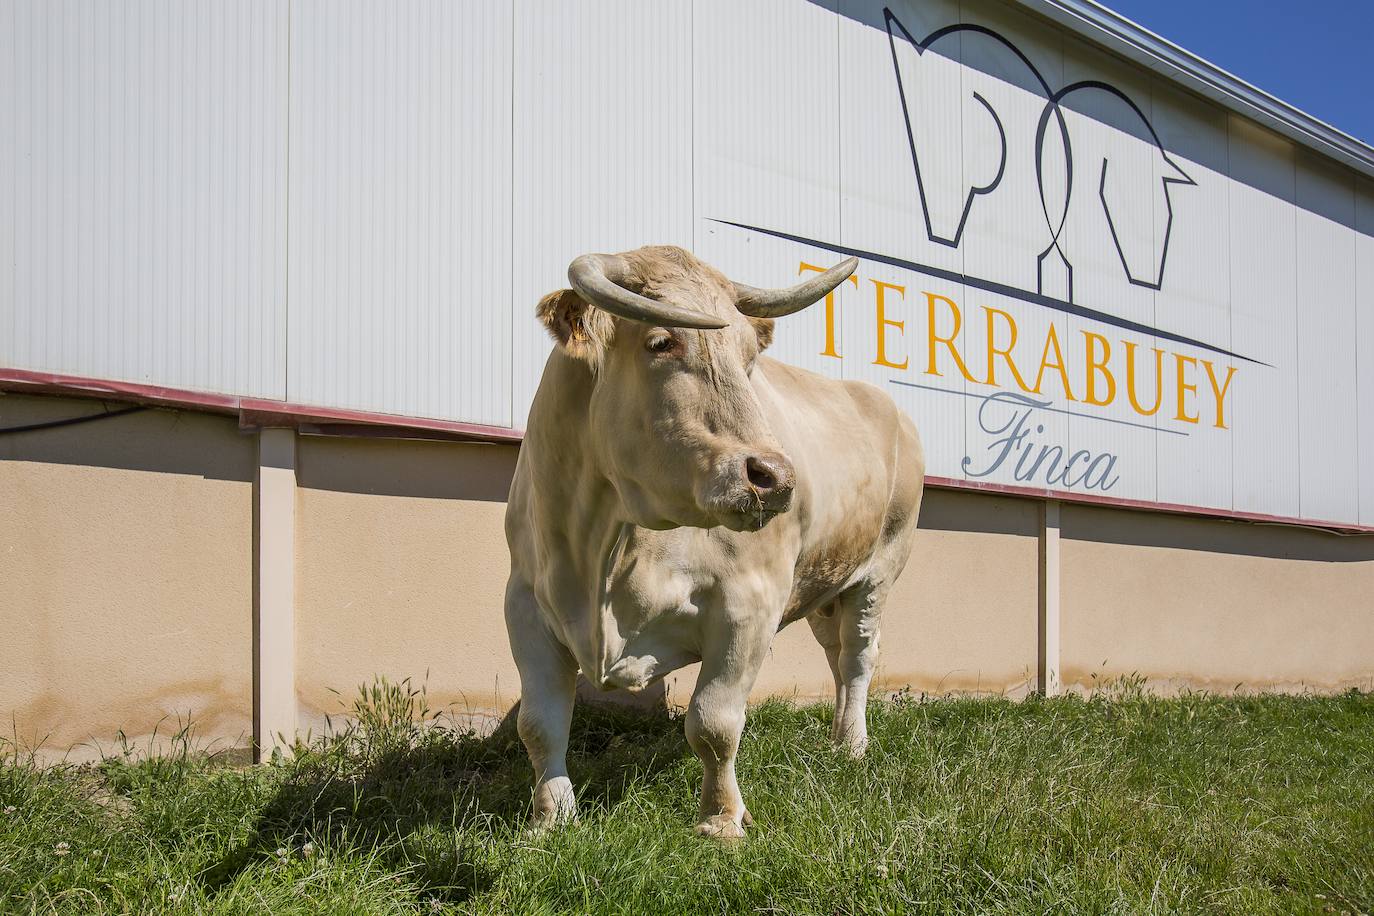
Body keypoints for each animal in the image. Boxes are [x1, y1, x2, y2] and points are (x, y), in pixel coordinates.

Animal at [505, 243, 923, 840]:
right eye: (661, 341)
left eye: (749, 357)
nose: (776, 478)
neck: (598, 551)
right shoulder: (525, 605)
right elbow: (538, 724)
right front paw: (550, 819)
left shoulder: (748, 605)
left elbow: (714, 722)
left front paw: (722, 821)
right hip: (824, 582)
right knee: (836, 654)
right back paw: (837, 735)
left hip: (881, 569)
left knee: (860, 655)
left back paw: (852, 746)